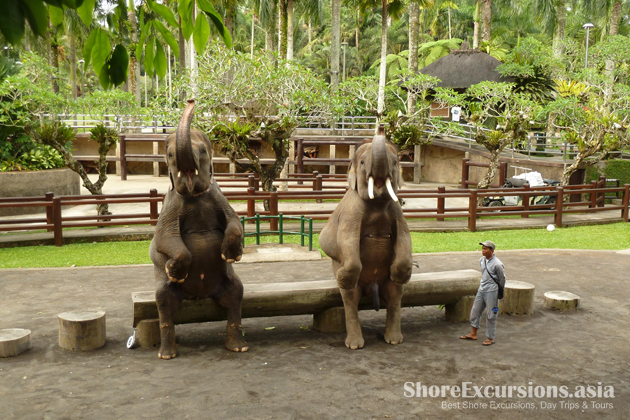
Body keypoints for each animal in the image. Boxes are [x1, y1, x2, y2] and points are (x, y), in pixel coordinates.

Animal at [149, 100, 248, 360]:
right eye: (169, 155)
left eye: (203, 151)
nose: (191, 100)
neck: (195, 195)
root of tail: (199, 295)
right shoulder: (171, 204)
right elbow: (163, 238)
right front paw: (174, 271)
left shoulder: (219, 196)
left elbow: (236, 222)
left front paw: (231, 255)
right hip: (164, 289)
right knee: (163, 302)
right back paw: (167, 355)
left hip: (228, 283)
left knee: (236, 295)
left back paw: (238, 347)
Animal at [320, 126, 414, 350]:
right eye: (362, 162)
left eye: (395, 162)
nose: (381, 127)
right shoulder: (351, 212)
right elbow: (344, 241)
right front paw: (343, 276)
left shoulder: (397, 212)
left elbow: (404, 236)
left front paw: (402, 274)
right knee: (350, 299)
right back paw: (355, 345)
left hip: (388, 286)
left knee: (395, 295)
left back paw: (393, 340)